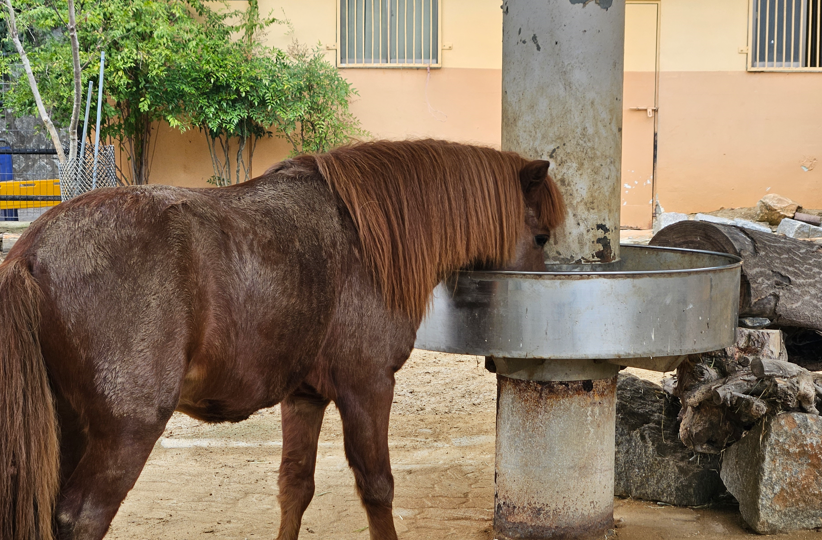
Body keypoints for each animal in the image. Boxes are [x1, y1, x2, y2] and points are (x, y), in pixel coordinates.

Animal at [0, 139, 565, 540]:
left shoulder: (304, 397)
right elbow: (377, 488)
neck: (363, 239)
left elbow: (296, 485)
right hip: (124, 433)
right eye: (540, 236)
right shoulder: (368, 388)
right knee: (82, 519)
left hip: (70, 427)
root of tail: (30, 250)